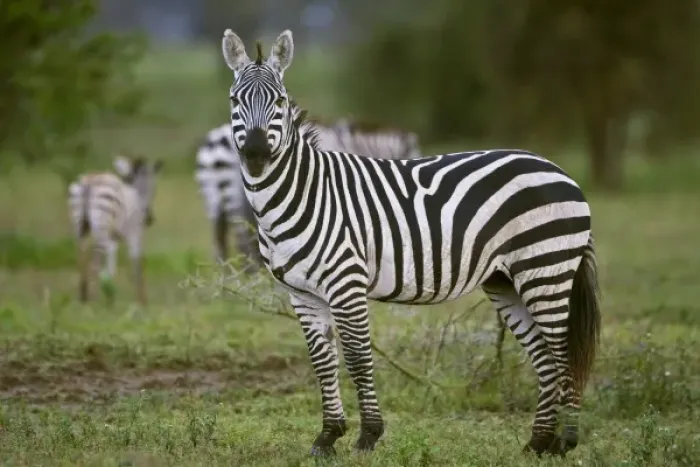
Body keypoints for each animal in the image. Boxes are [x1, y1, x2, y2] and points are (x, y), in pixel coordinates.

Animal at [68, 155, 163, 305]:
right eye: (154, 187)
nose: (149, 219)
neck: (137, 196)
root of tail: (91, 180)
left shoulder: (113, 239)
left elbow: (111, 267)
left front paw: (111, 297)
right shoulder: (135, 235)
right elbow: (138, 264)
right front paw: (141, 301)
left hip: (80, 228)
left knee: (81, 260)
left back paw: (84, 298)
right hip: (101, 229)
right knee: (98, 262)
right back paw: (96, 301)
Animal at [220, 29, 601, 458]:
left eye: (280, 102)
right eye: (235, 101)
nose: (255, 154)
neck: (302, 194)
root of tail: (559, 170)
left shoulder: (346, 283)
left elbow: (358, 358)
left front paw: (368, 435)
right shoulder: (301, 293)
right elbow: (323, 362)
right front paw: (327, 436)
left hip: (546, 269)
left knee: (564, 353)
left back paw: (565, 442)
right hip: (506, 280)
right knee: (544, 357)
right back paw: (538, 443)